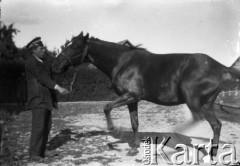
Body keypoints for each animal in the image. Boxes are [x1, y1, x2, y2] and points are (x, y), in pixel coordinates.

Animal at [52, 31, 240, 159]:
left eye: (75, 46)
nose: (55, 66)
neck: (122, 62)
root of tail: (220, 67)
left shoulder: (131, 96)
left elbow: (107, 107)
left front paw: (115, 130)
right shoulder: (131, 101)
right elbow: (134, 123)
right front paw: (134, 148)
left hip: (193, 100)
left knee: (199, 118)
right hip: (207, 103)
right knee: (216, 125)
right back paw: (212, 153)